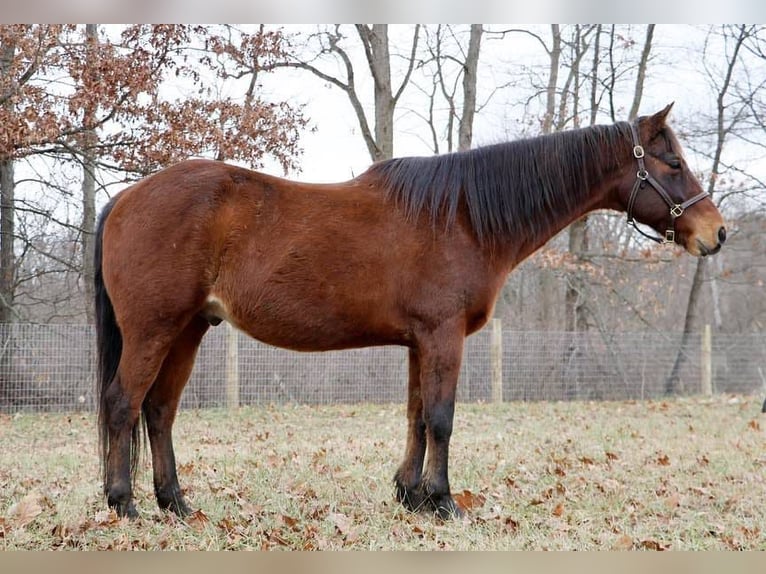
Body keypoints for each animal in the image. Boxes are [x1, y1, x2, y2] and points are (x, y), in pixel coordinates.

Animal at [94, 104, 726, 519]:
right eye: (671, 163)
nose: (716, 233)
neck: (464, 215)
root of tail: (126, 197)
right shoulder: (444, 336)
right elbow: (441, 418)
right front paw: (443, 502)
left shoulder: (422, 342)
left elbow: (417, 417)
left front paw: (410, 496)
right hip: (154, 330)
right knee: (123, 404)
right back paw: (124, 505)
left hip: (188, 330)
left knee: (159, 411)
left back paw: (176, 503)